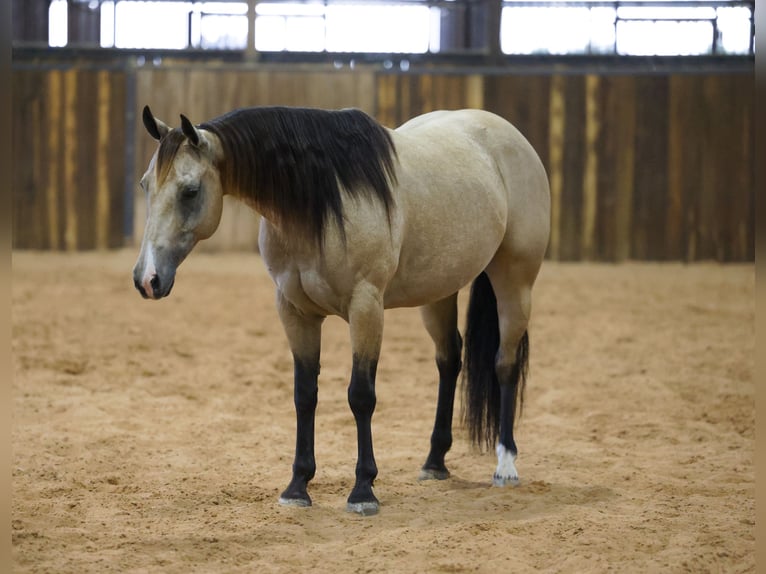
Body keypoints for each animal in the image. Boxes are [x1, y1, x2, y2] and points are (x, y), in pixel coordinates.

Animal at [133, 104, 550, 516]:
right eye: (145, 185)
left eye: (190, 191)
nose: (147, 279)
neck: (319, 202)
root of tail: (507, 134)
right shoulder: (294, 312)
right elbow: (305, 394)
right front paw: (297, 486)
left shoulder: (366, 307)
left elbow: (360, 395)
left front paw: (363, 490)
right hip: (439, 292)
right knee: (449, 360)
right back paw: (434, 462)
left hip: (514, 281)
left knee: (505, 363)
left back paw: (505, 465)